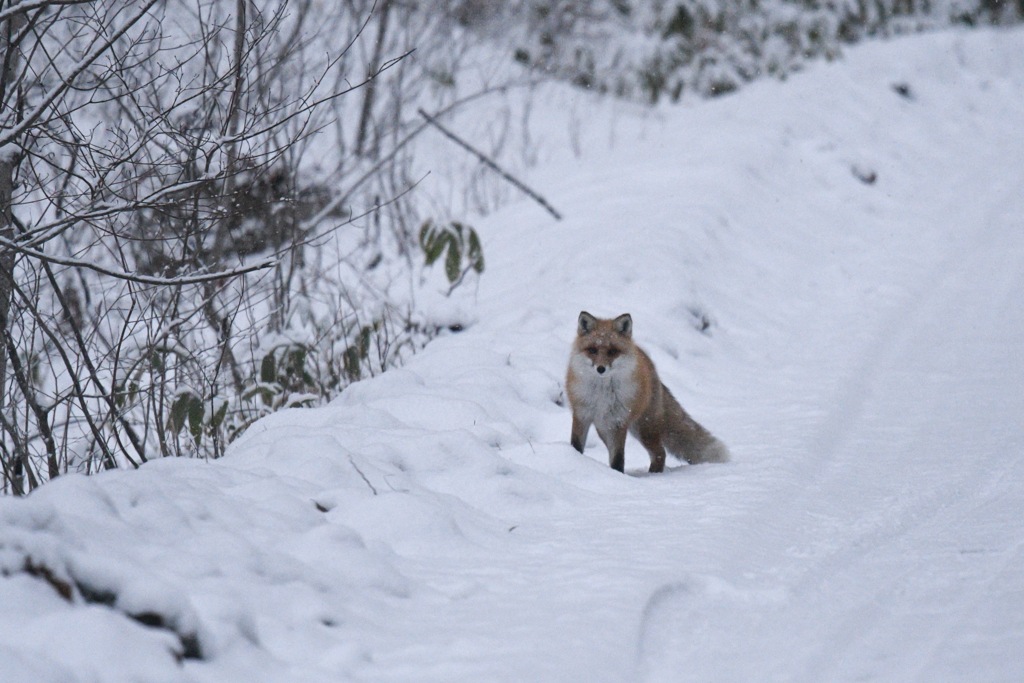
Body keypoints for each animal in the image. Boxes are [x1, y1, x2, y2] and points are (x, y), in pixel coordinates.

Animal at [569, 313, 729, 473]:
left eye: (612, 351)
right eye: (592, 350)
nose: (600, 369)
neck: (601, 395)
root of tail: (650, 365)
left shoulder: (617, 423)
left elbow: (617, 459)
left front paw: (617, 474)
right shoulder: (581, 415)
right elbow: (576, 445)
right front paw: (575, 458)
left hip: (643, 428)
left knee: (660, 453)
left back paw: (654, 474)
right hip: (604, 427)